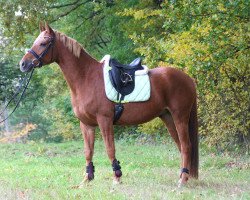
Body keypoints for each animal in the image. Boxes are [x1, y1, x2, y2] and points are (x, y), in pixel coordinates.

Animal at [19, 23, 198, 188]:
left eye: (43, 43)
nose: (23, 64)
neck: (86, 77)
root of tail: (188, 79)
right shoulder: (86, 124)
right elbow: (88, 151)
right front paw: (87, 179)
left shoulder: (104, 120)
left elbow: (110, 148)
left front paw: (117, 178)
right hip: (167, 117)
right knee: (181, 146)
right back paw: (184, 177)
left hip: (180, 116)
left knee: (186, 146)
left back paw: (182, 180)